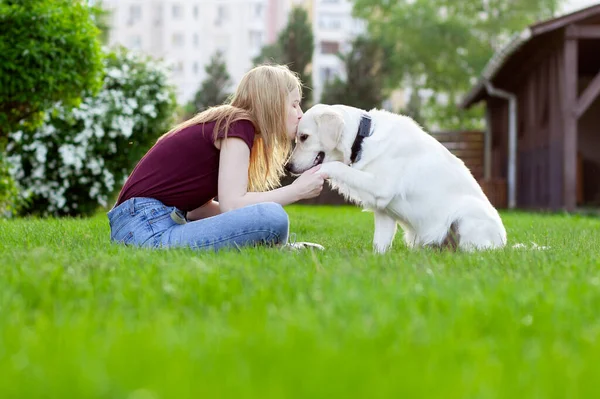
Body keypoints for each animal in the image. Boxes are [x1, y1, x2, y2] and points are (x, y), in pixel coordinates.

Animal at [286, 103, 506, 253]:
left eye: (304, 137)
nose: (288, 167)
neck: (363, 138)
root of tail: (504, 245)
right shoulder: (384, 211)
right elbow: (380, 244)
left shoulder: (380, 186)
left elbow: (336, 166)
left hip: (467, 214)